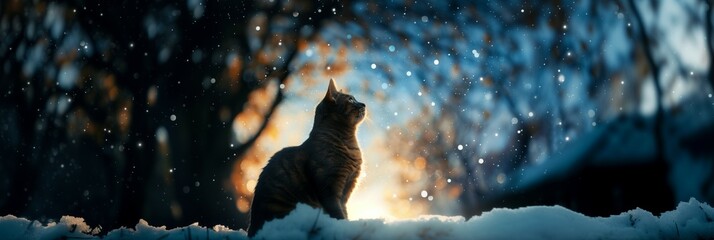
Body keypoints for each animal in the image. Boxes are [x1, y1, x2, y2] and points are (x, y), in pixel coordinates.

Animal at [246, 79, 368, 236]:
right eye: (351, 99)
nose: (363, 104)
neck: (349, 145)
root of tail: (252, 229)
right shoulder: (330, 189)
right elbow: (338, 213)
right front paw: (343, 227)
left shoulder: (347, 188)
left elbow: (344, 211)